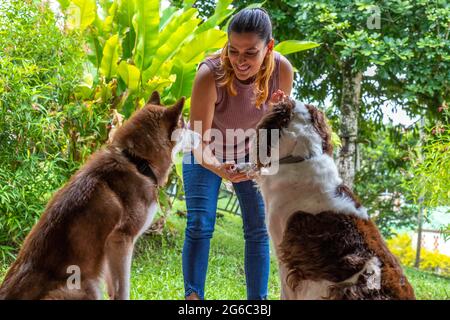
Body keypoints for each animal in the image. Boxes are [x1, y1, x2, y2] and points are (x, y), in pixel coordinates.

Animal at [0, 90, 185, 300]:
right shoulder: (121, 240)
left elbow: (114, 288)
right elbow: (123, 289)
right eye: (184, 123)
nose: (198, 133)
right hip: (85, 286)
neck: (137, 162)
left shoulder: (111, 252)